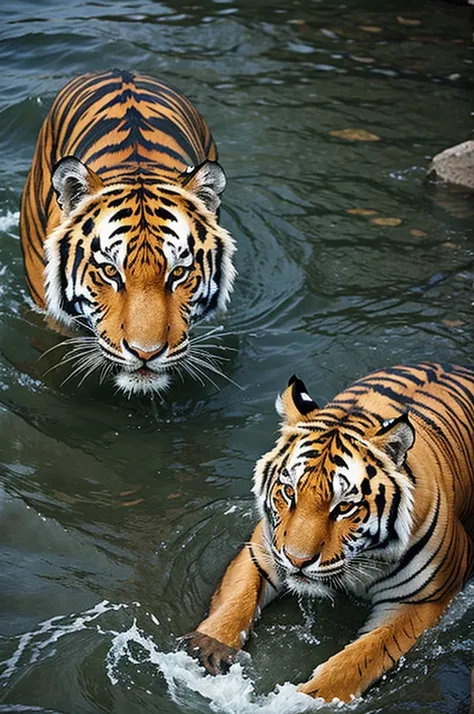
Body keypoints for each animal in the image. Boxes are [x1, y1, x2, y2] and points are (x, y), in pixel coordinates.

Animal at [183, 362, 474, 700]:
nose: (297, 561)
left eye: (344, 507)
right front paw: (209, 648)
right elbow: (238, 597)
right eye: (289, 492)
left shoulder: (418, 603)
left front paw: (302, 699)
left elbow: (359, 658)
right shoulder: (263, 549)